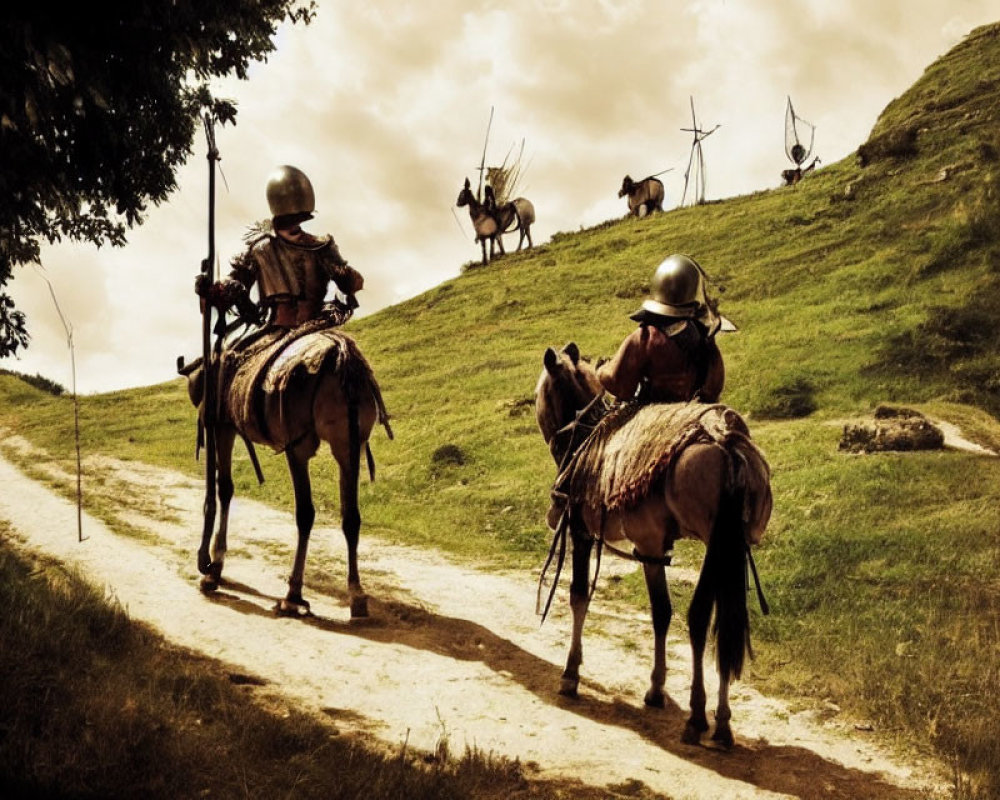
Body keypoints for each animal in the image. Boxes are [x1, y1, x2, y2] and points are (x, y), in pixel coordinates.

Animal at [178, 324, 388, 620]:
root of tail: (343, 356)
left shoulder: (222, 426)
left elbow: (224, 488)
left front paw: (212, 567)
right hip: (348, 445)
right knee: (351, 516)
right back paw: (356, 594)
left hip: (299, 446)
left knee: (306, 513)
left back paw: (293, 595)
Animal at [532, 344, 772, 752]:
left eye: (540, 392)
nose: (553, 437)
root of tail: (726, 442)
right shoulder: (651, 546)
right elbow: (661, 612)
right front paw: (656, 689)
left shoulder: (581, 531)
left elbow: (579, 596)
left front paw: (570, 674)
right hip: (729, 548)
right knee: (724, 620)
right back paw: (722, 724)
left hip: (713, 543)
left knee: (699, 616)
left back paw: (697, 717)